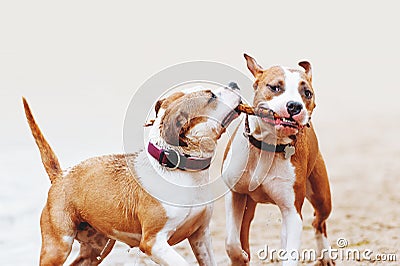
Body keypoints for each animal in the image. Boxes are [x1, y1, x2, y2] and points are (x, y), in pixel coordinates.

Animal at [24, 84, 241, 264]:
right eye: (211, 97)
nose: (233, 84)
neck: (182, 170)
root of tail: (61, 175)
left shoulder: (200, 235)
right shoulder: (154, 243)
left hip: (97, 248)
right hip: (58, 247)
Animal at [222, 54, 334, 266]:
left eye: (307, 93)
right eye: (275, 87)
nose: (294, 106)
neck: (268, 145)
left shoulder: (292, 211)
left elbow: (291, 251)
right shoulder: (235, 194)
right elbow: (231, 242)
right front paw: (240, 257)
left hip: (321, 197)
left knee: (318, 221)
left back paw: (325, 256)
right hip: (249, 204)